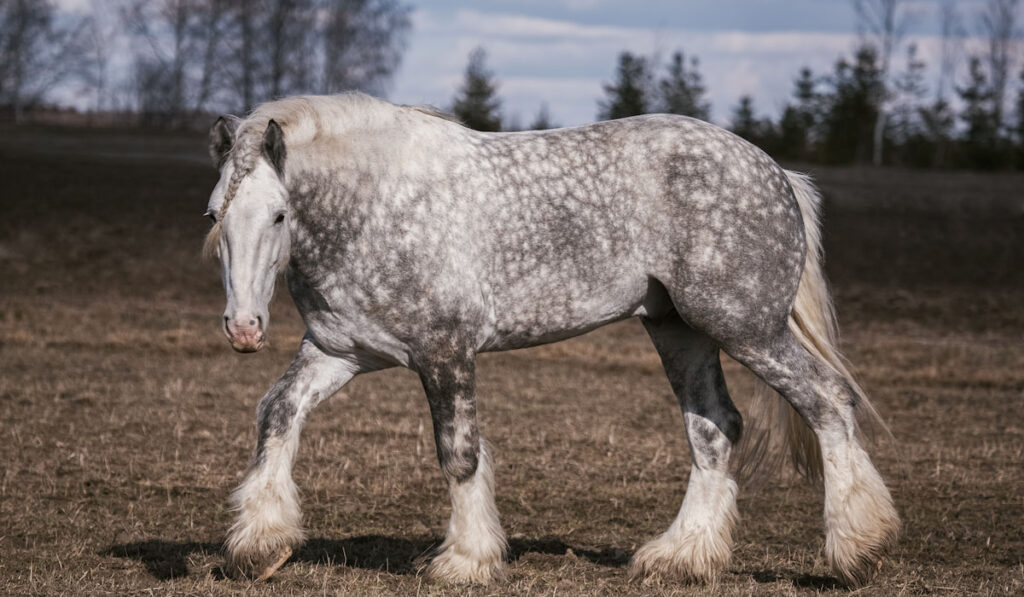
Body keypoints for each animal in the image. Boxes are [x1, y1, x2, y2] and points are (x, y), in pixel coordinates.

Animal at [203, 92, 901, 585]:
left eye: (279, 215)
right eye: (215, 215)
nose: (243, 328)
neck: (377, 206)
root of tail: (776, 171)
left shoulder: (445, 352)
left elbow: (459, 453)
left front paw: (466, 562)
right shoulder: (341, 352)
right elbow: (276, 414)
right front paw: (259, 547)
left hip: (744, 326)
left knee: (827, 399)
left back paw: (858, 551)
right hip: (681, 331)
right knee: (715, 427)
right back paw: (682, 557)